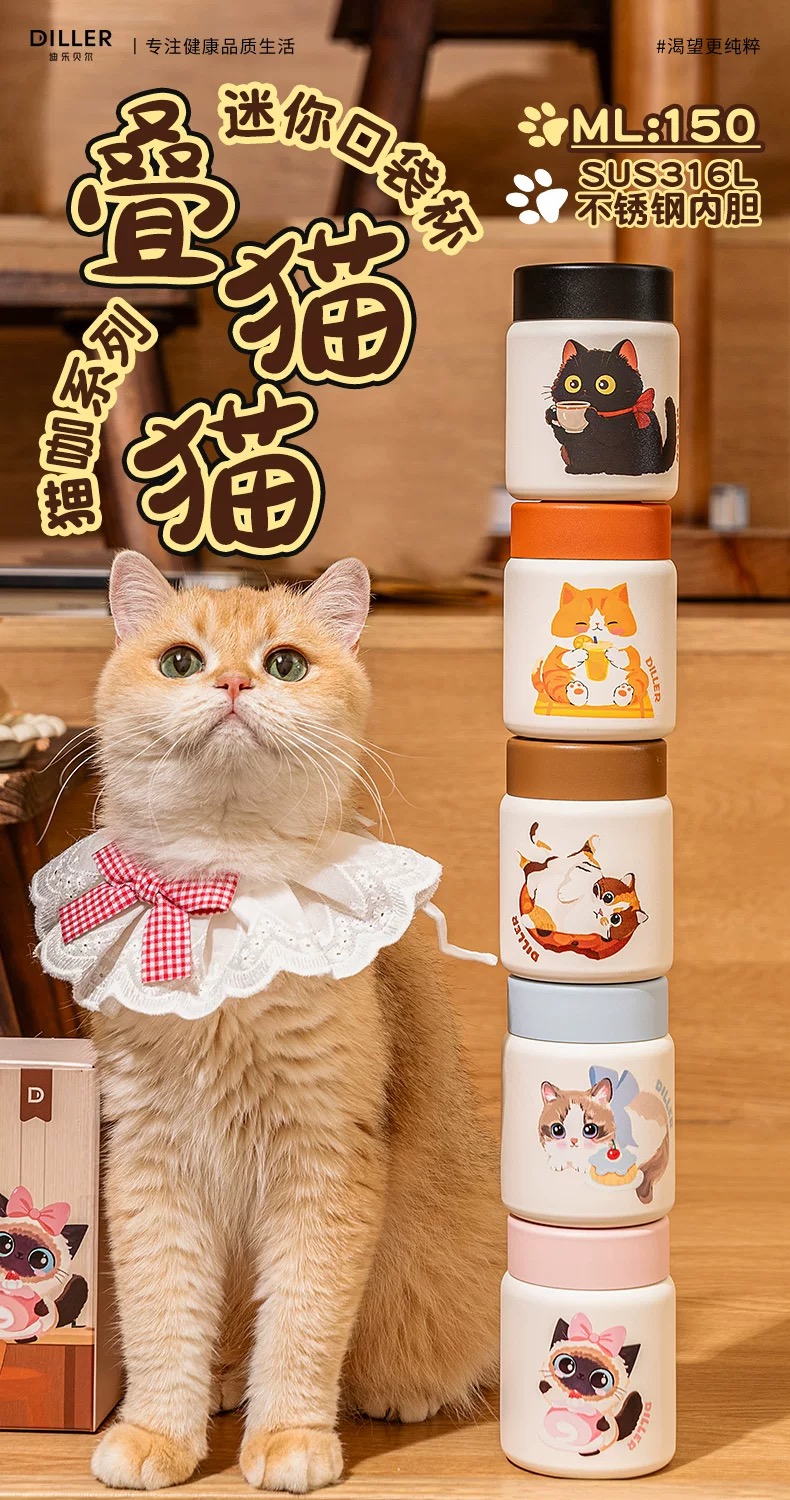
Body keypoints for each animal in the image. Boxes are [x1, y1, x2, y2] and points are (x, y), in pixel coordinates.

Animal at [69, 551, 500, 1495]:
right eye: (181, 662)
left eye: (286, 665)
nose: (234, 682)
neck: (222, 892)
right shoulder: (152, 1159)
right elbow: (160, 1320)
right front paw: (157, 1432)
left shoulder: (323, 1160)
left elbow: (303, 1325)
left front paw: (289, 1438)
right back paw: (223, 1385)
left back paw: (399, 1389)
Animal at [518, 824, 648, 961]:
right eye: (608, 897)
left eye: (616, 919)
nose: (601, 911)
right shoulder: (586, 870)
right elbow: (582, 878)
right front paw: (565, 893)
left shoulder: (556, 922)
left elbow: (537, 918)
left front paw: (526, 918)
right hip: (571, 861)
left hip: (539, 870)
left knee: (529, 868)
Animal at [532, 582, 651, 712]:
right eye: (581, 623)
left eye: (612, 623)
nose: (597, 625)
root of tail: (598, 702)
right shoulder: (557, 653)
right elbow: (561, 657)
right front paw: (579, 653)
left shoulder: (631, 652)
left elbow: (632, 657)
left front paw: (613, 653)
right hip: (555, 676)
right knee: (559, 687)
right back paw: (577, 691)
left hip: (639, 676)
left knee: (637, 684)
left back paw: (623, 693)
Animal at [546, 338, 677, 476]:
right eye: (573, 383)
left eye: (603, 384)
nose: (585, 391)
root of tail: (658, 465)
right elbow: (563, 437)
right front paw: (551, 413)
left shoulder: (622, 426)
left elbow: (609, 436)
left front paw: (590, 413)